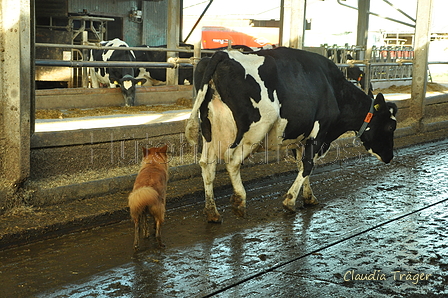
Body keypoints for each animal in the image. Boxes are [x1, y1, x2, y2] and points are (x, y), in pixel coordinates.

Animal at [186, 47, 400, 224]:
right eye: (391, 127)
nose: (390, 156)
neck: (334, 89)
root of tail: (221, 55)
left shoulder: (300, 138)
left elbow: (301, 165)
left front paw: (308, 197)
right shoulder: (319, 132)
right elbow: (308, 165)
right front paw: (290, 202)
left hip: (210, 130)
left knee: (207, 164)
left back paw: (212, 212)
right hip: (255, 128)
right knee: (232, 160)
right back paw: (239, 201)